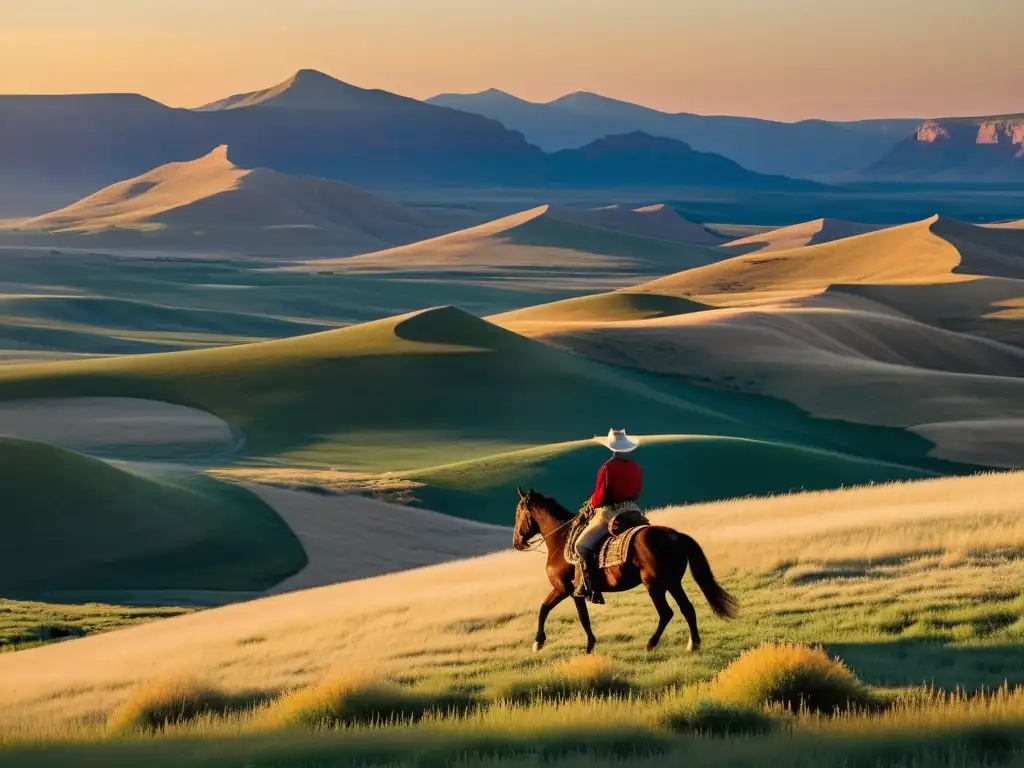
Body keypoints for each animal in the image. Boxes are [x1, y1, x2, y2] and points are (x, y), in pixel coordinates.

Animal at [512, 487, 737, 655]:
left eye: (518, 513)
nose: (517, 542)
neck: (561, 539)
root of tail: (675, 535)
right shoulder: (572, 592)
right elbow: (577, 616)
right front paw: (588, 646)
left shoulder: (564, 589)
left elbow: (548, 610)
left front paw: (539, 642)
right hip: (672, 583)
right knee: (687, 609)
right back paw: (693, 644)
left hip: (654, 585)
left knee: (666, 612)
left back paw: (651, 643)